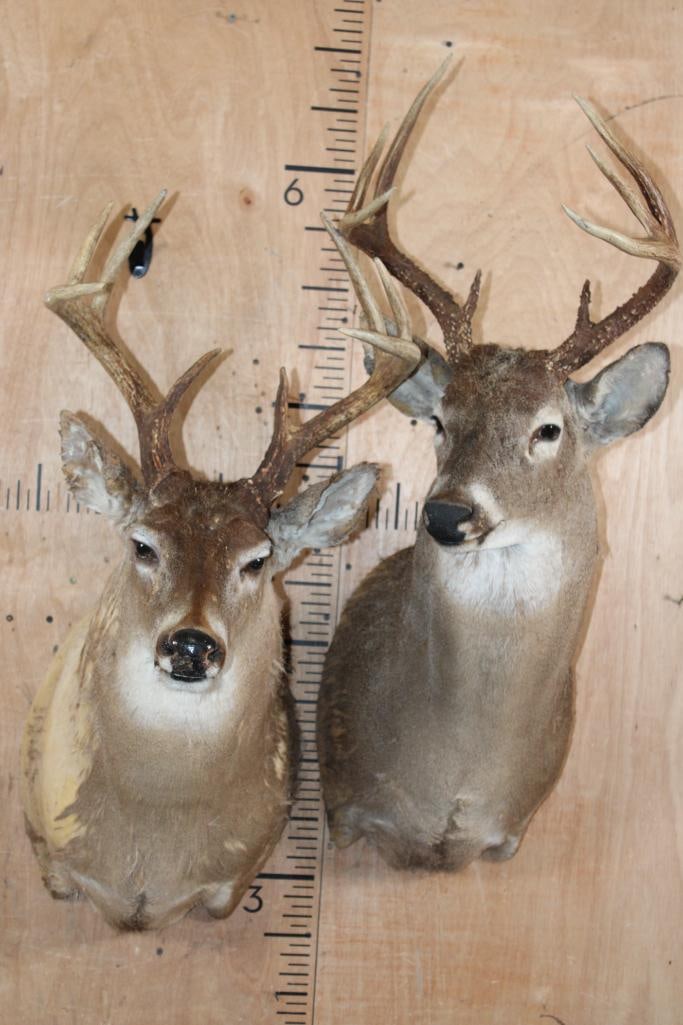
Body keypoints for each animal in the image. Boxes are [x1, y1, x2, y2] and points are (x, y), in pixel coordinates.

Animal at [20, 193, 420, 929]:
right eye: (142, 543)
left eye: (257, 560)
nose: (190, 644)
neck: (147, 843)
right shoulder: (45, 850)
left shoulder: (232, 879)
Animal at [317, 63, 679, 871]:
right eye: (438, 420)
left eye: (548, 428)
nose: (448, 513)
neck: (460, 771)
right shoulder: (351, 808)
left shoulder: (507, 835)